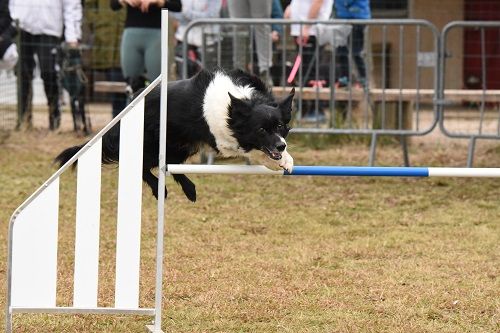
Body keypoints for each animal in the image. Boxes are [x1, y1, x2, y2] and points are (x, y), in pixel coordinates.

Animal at [56, 68, 294, 201]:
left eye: (280, 126)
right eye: (261, 130)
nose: (280, 145)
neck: (239, 102)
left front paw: (286, 159)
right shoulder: (220, 139)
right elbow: (251, 150)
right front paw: (276, 162)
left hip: (181, 147)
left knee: (171, 167)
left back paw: (190, 190)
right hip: (155, 145)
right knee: (142, 166)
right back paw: (160, 190)